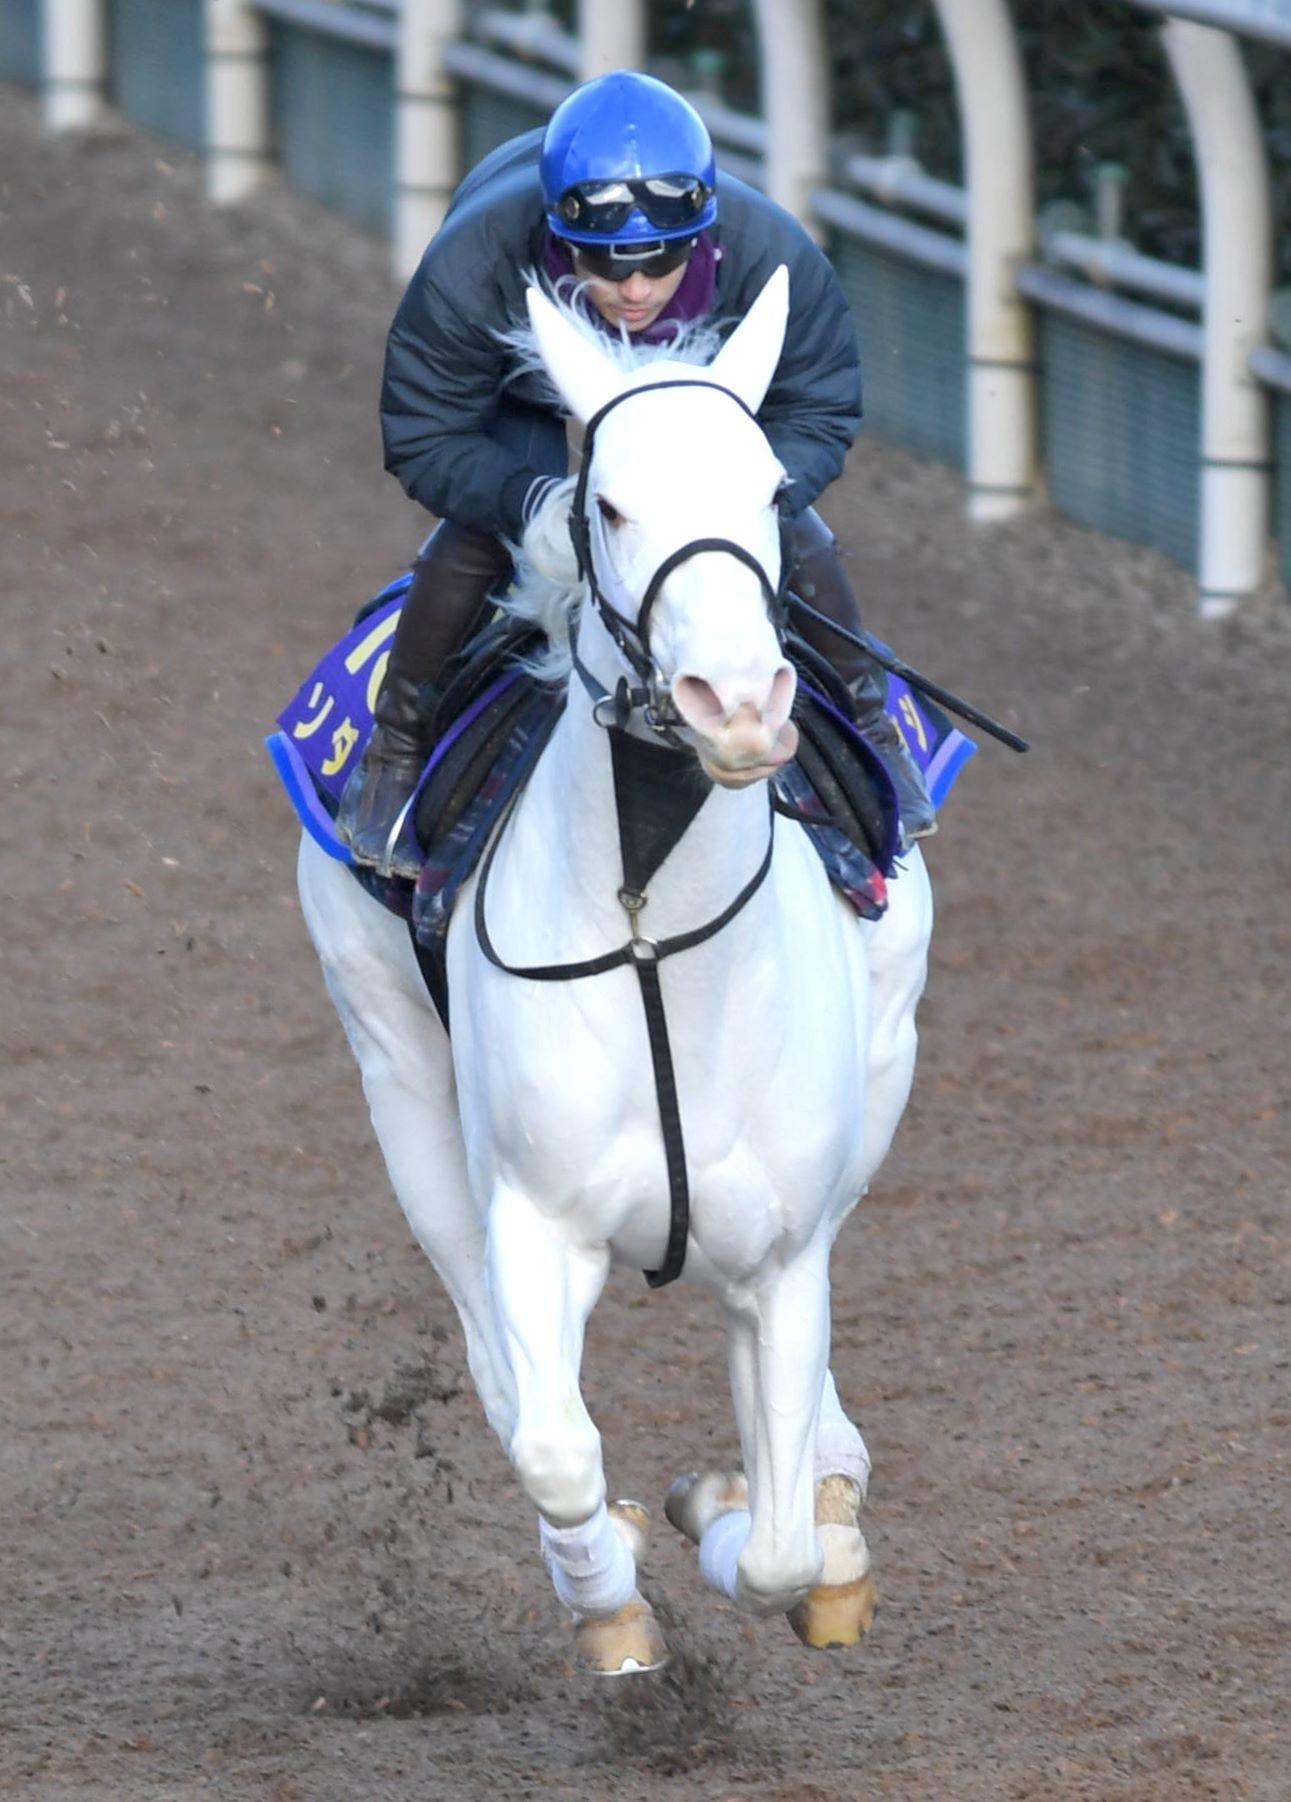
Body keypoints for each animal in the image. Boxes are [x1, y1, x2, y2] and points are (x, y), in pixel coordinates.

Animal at [297, 270, 930, 1672]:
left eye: (769, 489)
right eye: (611, 503)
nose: (737, 702)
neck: (653, 931)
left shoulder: (781, 1255)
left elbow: (778, 1541)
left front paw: (750, 1509)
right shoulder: (535, 1217)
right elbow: (553, 1447)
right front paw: (616, 1594)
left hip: (888, 1054)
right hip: (398, 1081)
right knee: (496, 1366)